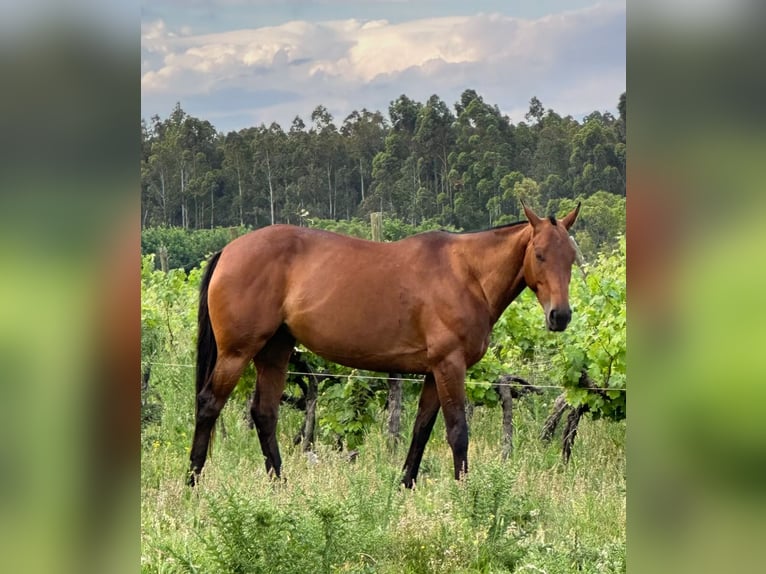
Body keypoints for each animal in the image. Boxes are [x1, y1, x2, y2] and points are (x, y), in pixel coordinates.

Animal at [189, 202, 580, 487]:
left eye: (571, 258)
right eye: (540, 254)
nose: (560, 316)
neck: (466, 274)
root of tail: (228, 250)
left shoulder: (433, 372)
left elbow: (421, 430)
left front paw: (405, 485)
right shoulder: (449, 365)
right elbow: (457, 432)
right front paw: (466, 494)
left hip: (275, 351)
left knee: (264, 413)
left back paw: (279, 484)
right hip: (237, 353)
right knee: (209, 405)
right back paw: (193, 482)